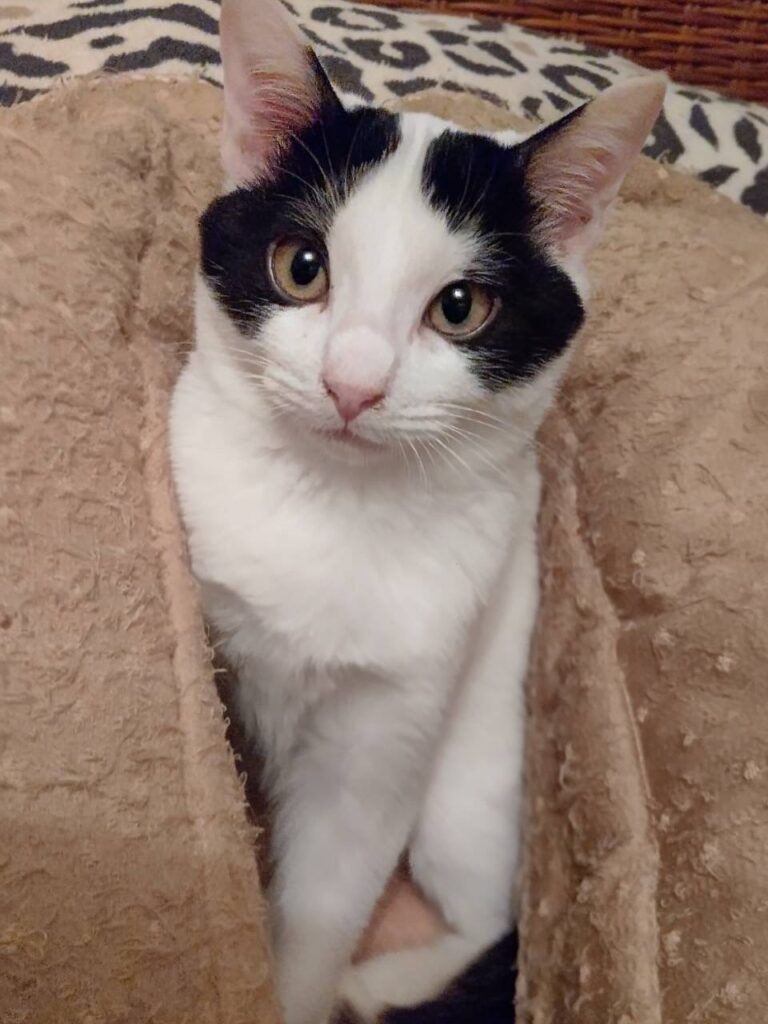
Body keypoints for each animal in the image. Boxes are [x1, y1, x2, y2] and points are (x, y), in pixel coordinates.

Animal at [169, 2, 665, 1022]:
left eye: (461, 307)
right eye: (302, 266)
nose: (352, 384)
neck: (335, 505)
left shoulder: (391, 726)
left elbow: (327, 900)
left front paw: (300, 987)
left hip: (475, 775)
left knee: (489, 917)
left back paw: (390, 979)